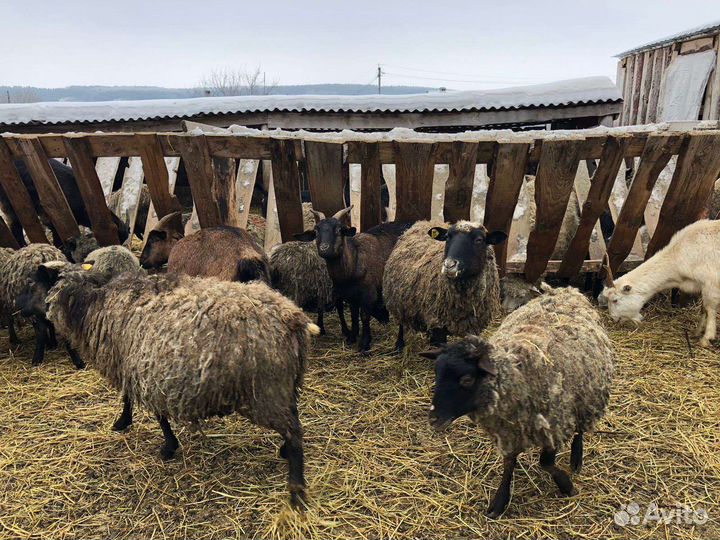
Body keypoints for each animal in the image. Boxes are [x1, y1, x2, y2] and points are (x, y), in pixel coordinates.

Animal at [33, 265, 317, 508]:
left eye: (46, 287)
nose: (40, 313)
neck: (92, 305)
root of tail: (292, 317)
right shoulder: (138, 369)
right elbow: (129, 398)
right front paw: (125, 421)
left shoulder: (143, 371)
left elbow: (155, 413)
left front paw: (166, 445)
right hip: (286, 384)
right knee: (294, 419)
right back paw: (285, 454)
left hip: (266, 390)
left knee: (293, 431)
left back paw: (296, 491)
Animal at [295, 206, 410, 355]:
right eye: (316, 231)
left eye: (339, 230)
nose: (324, 248)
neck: (353, 261)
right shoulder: (350, 295)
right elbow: (354, 316)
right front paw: (352, 336)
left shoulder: (368, 293)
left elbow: (364, 316)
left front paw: (365, 344)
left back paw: (399, 344)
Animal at [382, 221, 506, 351]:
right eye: (447, 237)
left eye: (479, 240)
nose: (449, 265)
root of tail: (423, 222)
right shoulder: (438, 324)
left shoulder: (473, 326)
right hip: (398, 299)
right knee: (401, 323)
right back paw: (399, 345)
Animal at [423, 286, 614, 518]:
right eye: (436, 373)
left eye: (467, 380)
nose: (433, 419)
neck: (515, 375)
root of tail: (565, 290)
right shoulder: (509, 431)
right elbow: (508, 464)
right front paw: (500, 501)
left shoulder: (553, 424)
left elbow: (545, 463)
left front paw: (566, 485)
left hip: (586, 395)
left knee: (580, 429)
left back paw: (576, 458)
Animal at [600, 219, 720, 347]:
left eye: (615, 300)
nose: (614, 319)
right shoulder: (702, 286)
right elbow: (703, 309)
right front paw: (697, 332)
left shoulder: (711, 284)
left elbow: (709, 309)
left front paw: (706, 338)